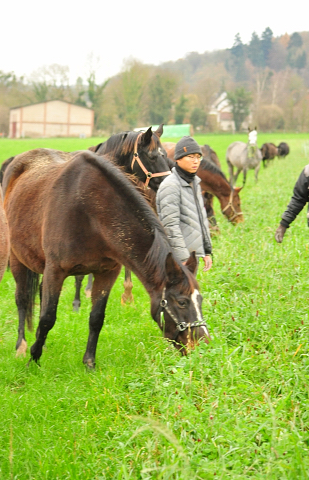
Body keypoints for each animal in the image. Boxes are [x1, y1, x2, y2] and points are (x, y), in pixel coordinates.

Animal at [3, 148, 209, 366]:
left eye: (200, 300)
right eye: (182, 302)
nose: (202, 345)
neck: (90, 212)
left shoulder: (106, 273)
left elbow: (96, 318)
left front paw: (89, 363)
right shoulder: (55, 271)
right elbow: (47, 317)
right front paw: (33, 359)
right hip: (18, 260)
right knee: (22, 299)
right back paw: (22, 346)